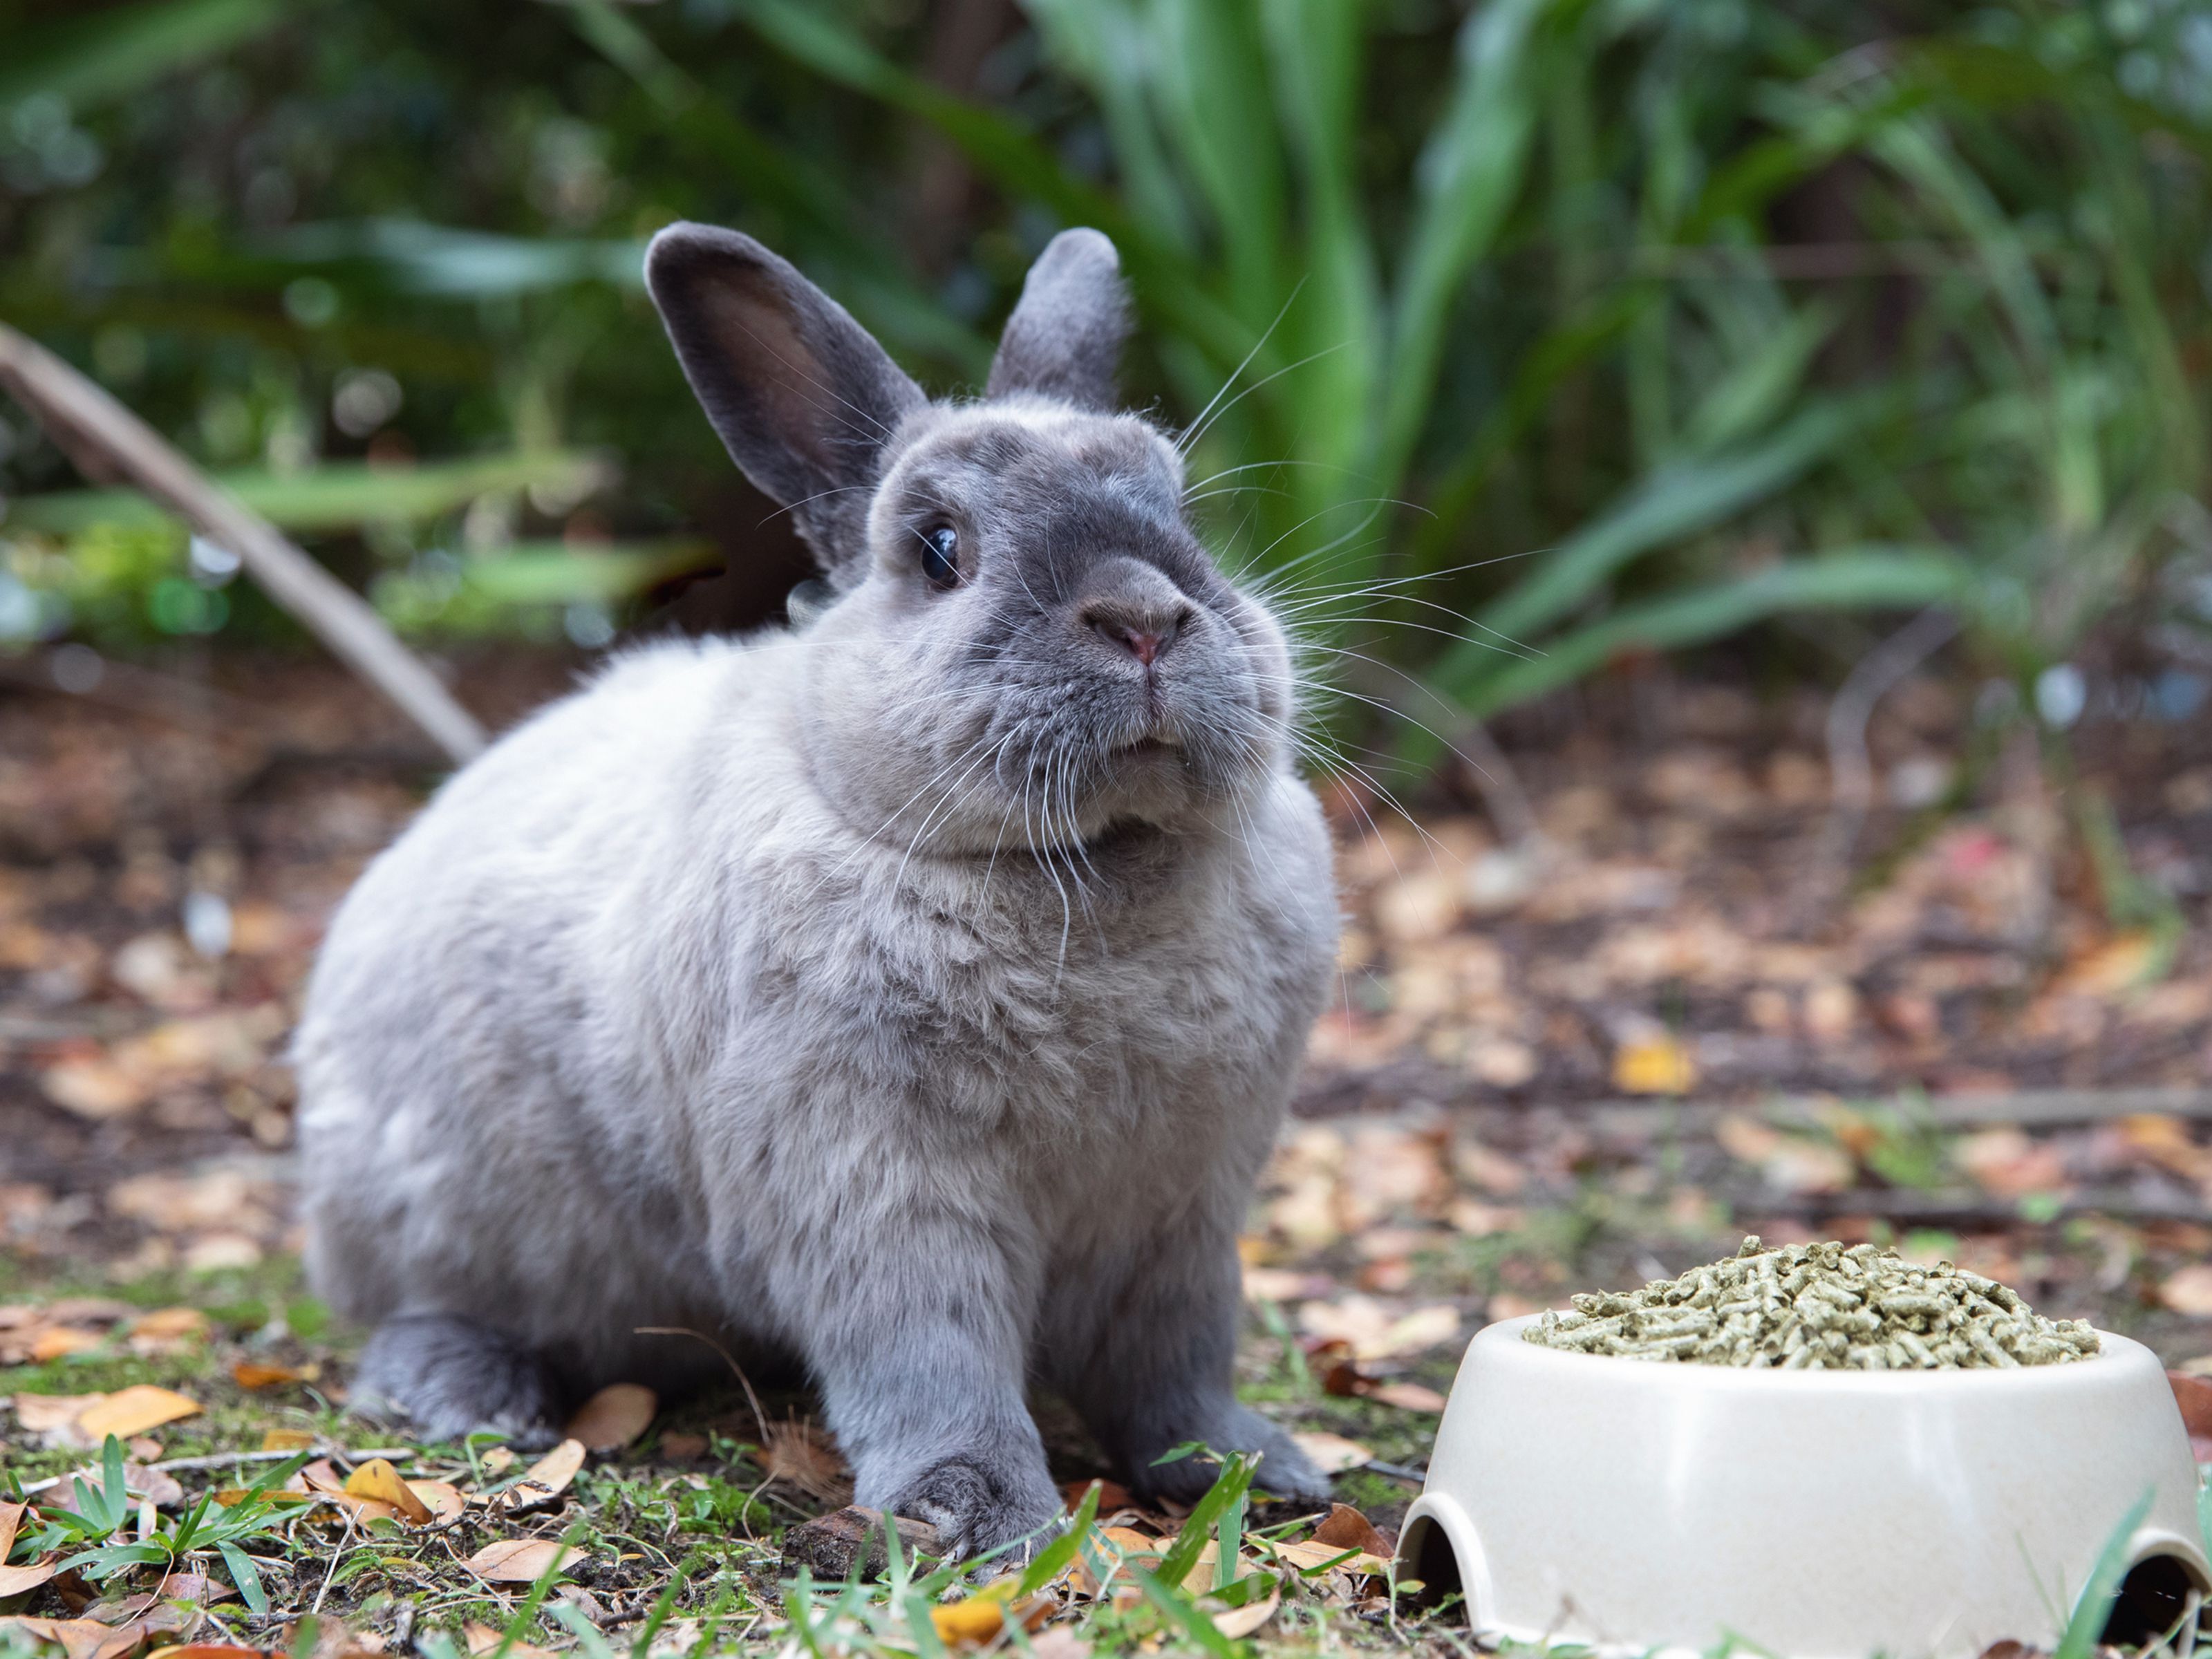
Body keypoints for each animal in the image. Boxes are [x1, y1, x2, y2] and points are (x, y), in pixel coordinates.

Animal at [288, 221, 1335, 1557]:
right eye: (939, 548)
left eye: (1181, 508)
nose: (1147, 618)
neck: (1087, 877)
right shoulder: (876, 1190)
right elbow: (932, 1358)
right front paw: (980, 1514)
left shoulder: (1181, 1215)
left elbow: (1177, 1365)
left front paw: (1249, 1471)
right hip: (442, 1224)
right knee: (416, 1313)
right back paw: (474, 1397)